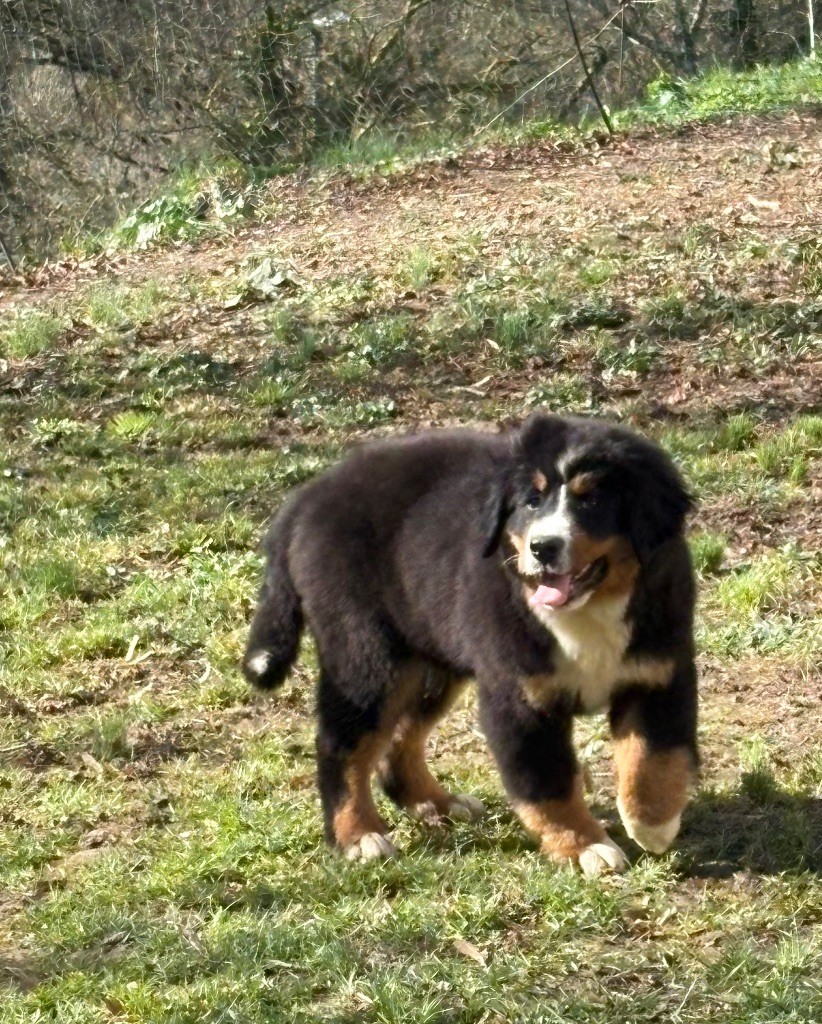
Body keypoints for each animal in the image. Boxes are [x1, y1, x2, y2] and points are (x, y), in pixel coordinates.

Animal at [243, 412, 697, 875]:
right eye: (531, 501)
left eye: (591, 501)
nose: (542, 547)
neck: (589, 610)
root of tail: (306, 498)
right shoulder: (519, 696)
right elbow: (549, 781)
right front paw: (584, 845)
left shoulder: (658, 674)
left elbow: (653, 756)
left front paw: (652, 823)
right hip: (366, 656)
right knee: (342, 744)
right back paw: (357, 835)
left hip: (429, 661)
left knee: (399, 739)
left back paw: (438, 803)